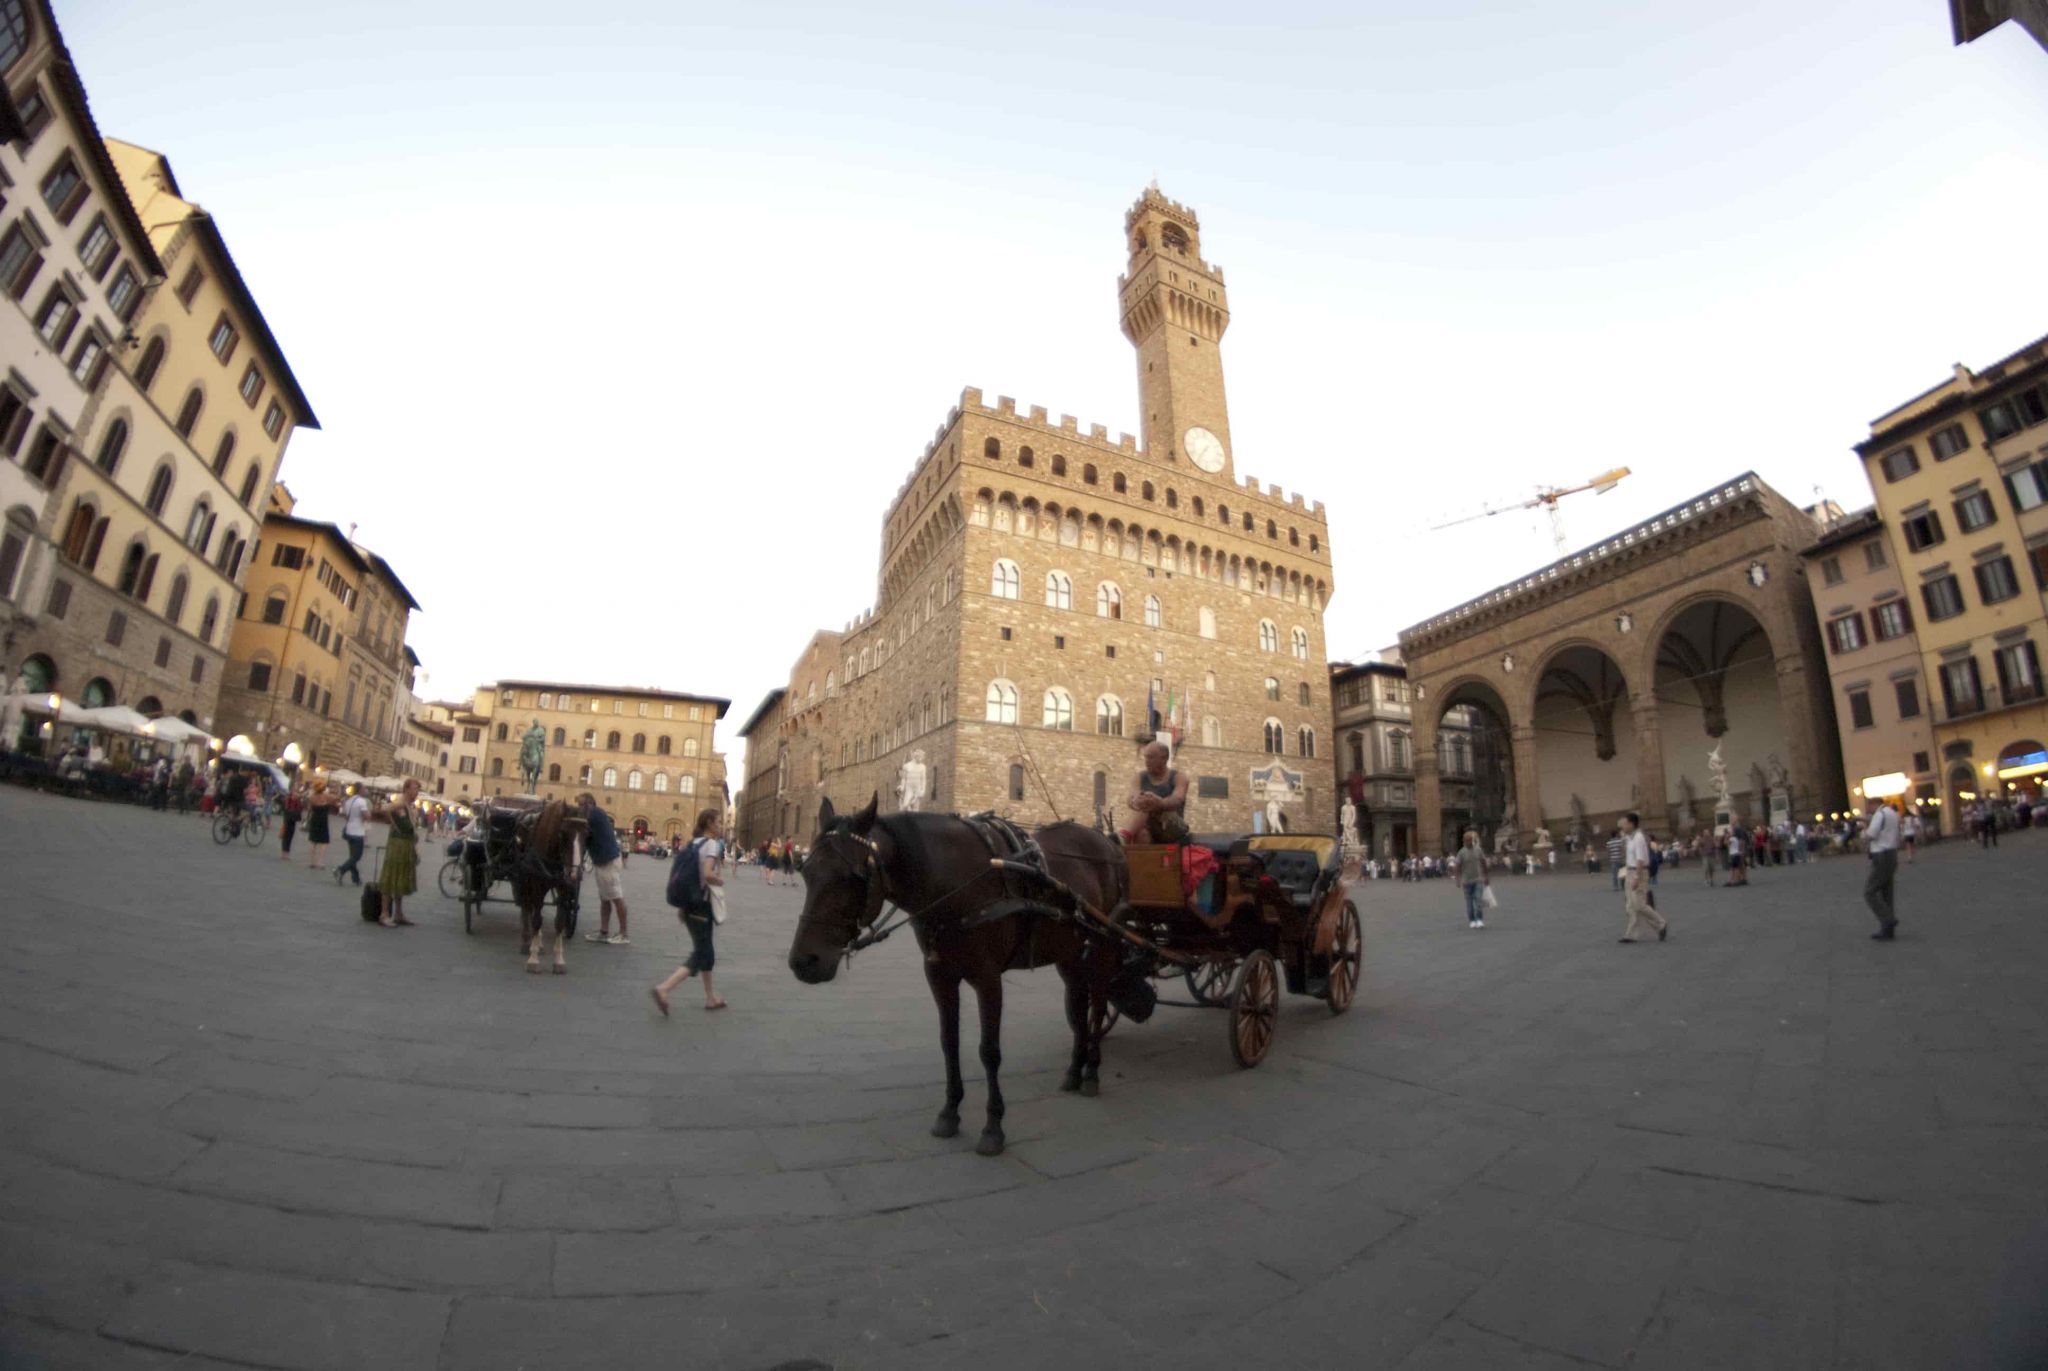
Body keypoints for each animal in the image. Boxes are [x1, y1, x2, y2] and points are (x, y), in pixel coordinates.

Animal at [790, 791, 1130, 1155]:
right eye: (805, 870)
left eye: (854, 877)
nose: (802, 962)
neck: (955, 883)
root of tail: (1108, 843)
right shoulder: (938, 975)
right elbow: (948, 1042)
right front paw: (950, 1112)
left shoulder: (988, 978)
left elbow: (989, 1051)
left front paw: (993, 1126)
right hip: (1069, 951)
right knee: (1079, 1008)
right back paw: (1074, 1071)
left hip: (1103, 945)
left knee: (1097, 1006)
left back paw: (1092, 1072)